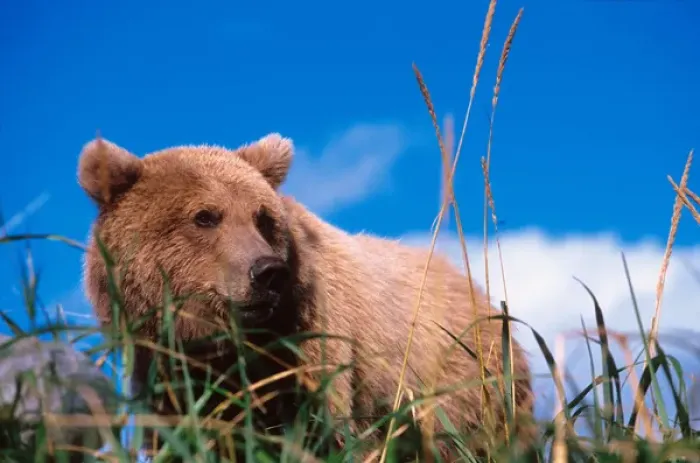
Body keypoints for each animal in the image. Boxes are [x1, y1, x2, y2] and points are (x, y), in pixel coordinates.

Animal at [77, 133, 535, 460]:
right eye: (205, 216)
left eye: (262, 217)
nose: (268, 273)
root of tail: (475, 289)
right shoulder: (167, 374)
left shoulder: (315, 351)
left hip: (467, 389)